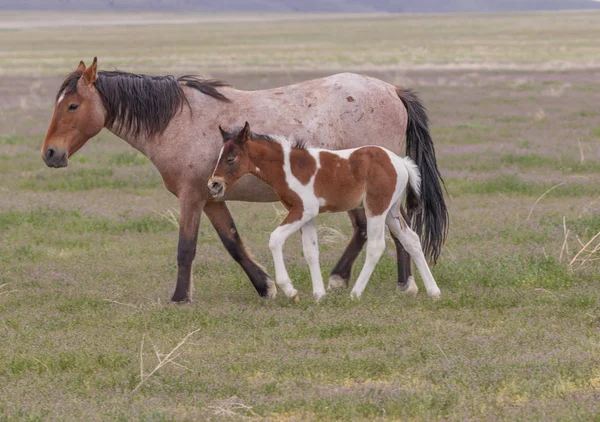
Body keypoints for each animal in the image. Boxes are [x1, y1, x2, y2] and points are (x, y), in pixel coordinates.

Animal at [207, 122, 440, 300]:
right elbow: (311, 251)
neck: (288, 167)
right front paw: (318, 294)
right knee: (411, 239)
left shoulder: (303, 210)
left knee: (376, 246)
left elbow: (275, 239)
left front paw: (290, 290)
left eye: (231, 158)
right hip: (391, 211)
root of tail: (400, 161)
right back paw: (433, 291)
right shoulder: (308, 216)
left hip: (376, 208)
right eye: (219, 157)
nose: (214, 184)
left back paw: (355, 293)